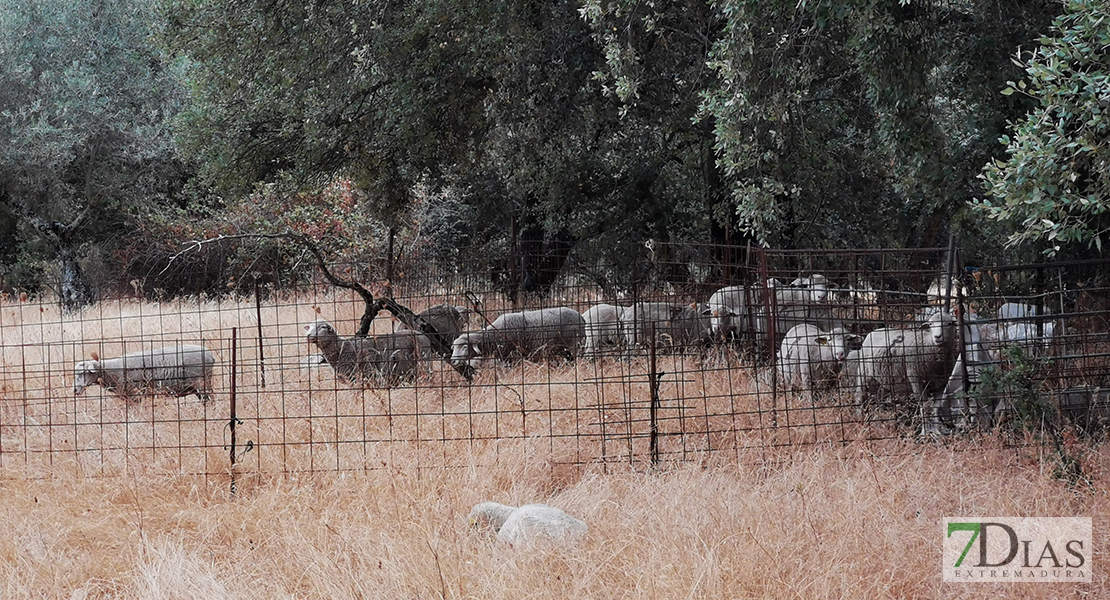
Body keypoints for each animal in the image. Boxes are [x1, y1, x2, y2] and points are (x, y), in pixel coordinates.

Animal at [450, 306, 590, 368]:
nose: (453, 361)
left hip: (575, 345)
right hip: (564, 349)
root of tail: (581, 317)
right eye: (454, 348)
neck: (494, 334)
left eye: (464, 347)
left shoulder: (511, 354)